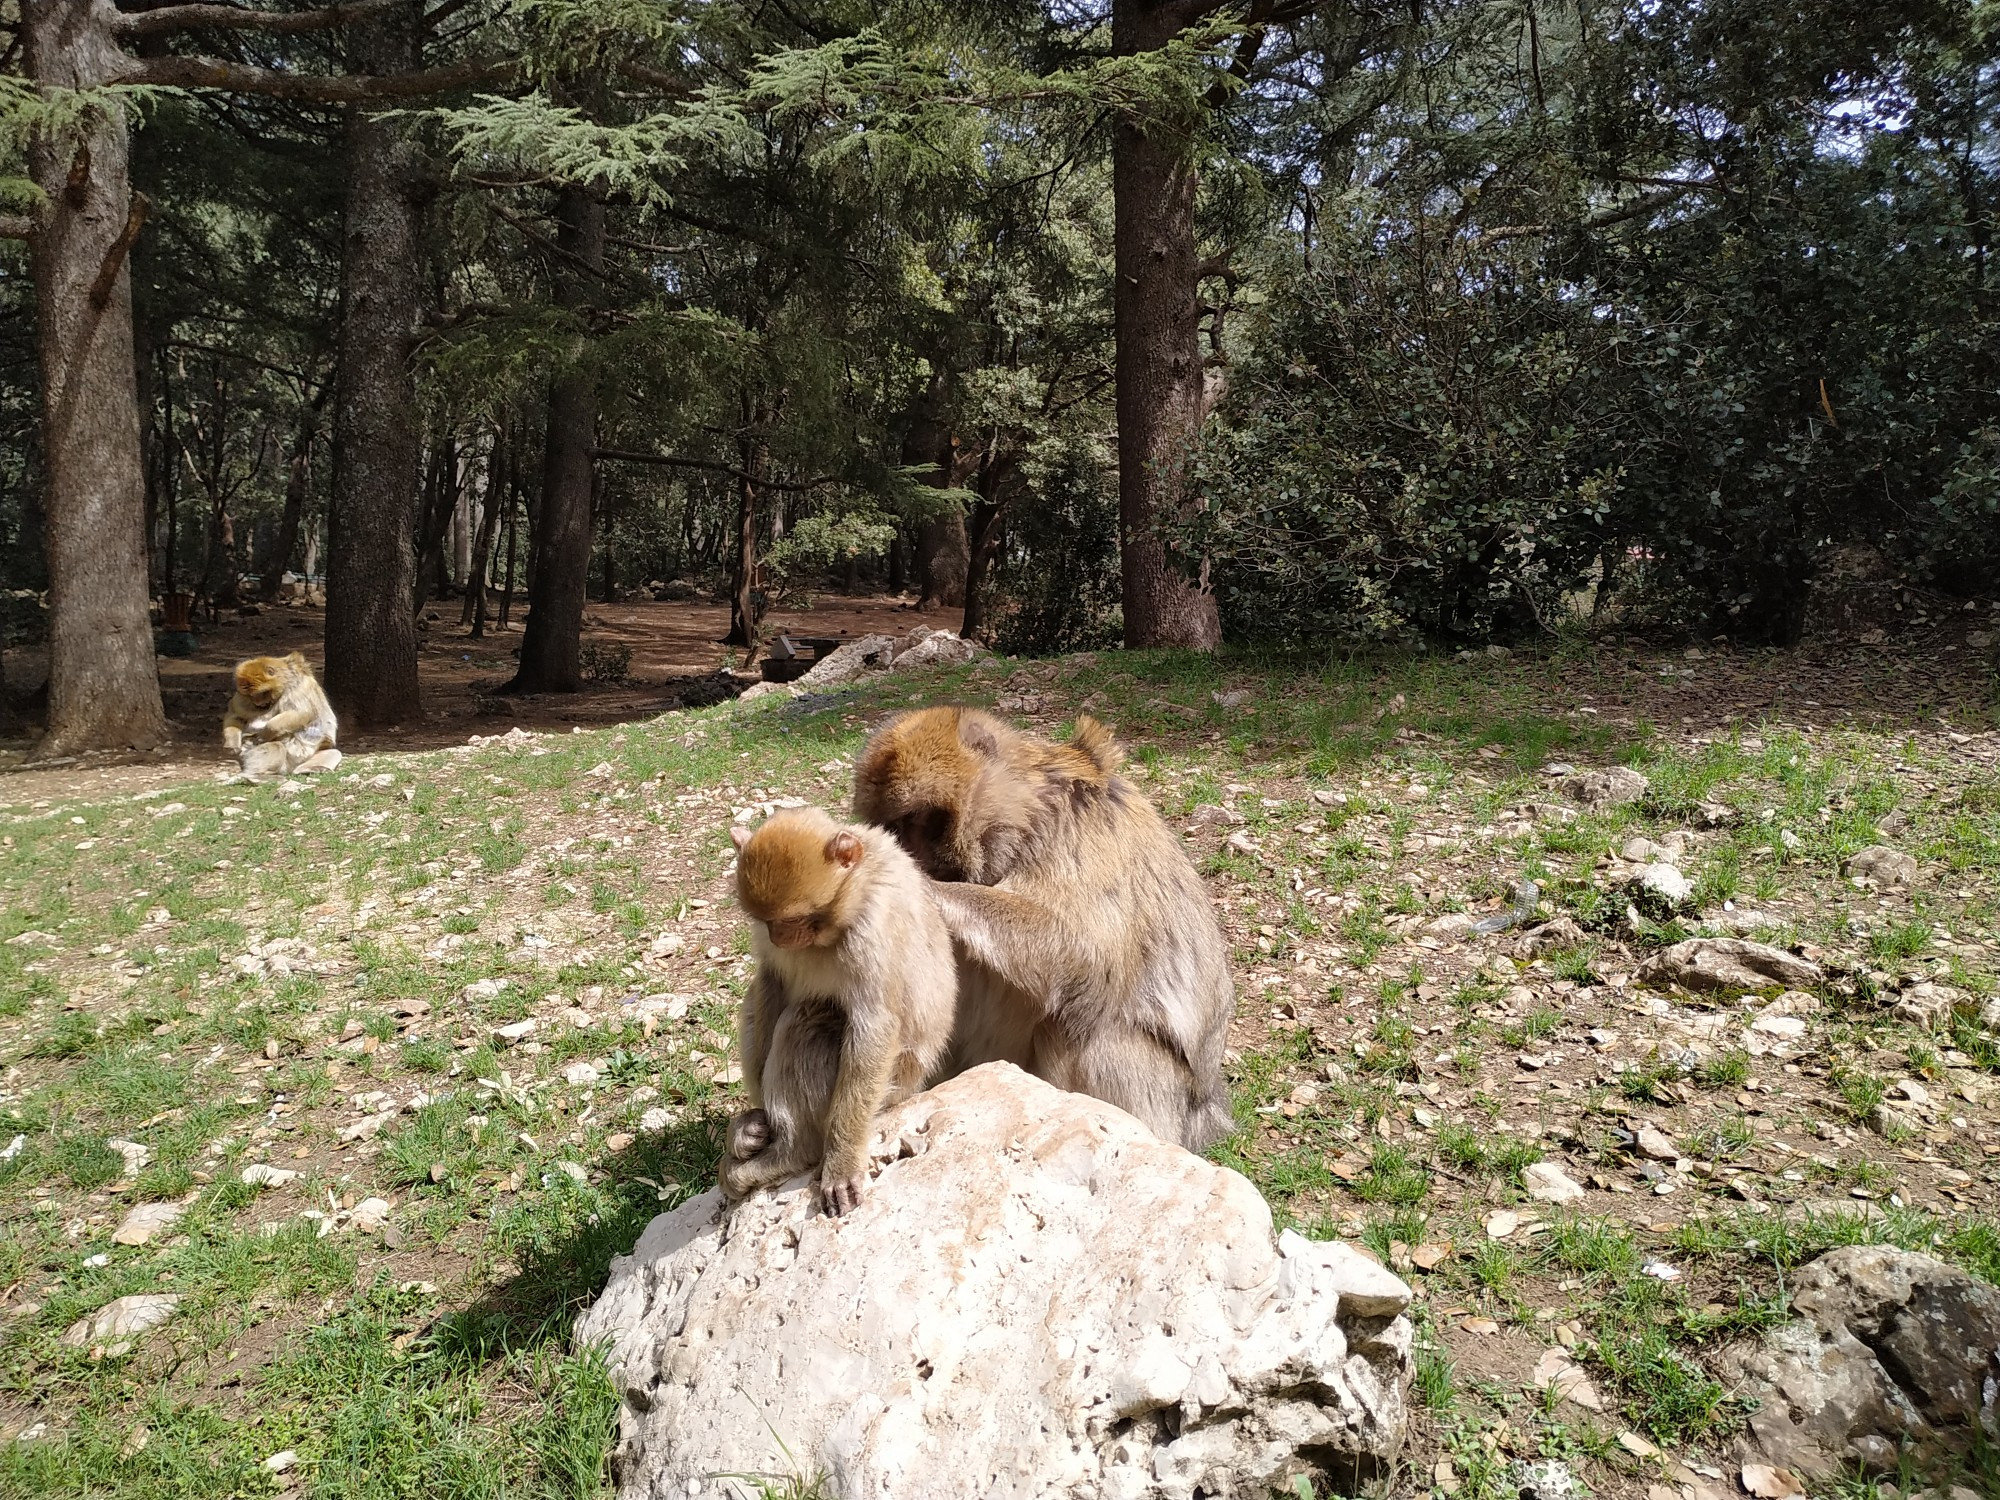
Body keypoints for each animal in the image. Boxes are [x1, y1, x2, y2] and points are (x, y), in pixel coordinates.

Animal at [224, 652, 342, 780]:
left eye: (261, 693)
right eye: (250, 695)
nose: (257, 703)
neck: (286, 682)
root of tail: (288, 769)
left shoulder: (297, 688)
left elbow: (302, 713)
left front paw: (267, 731)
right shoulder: (242, 697)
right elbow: (235, 716)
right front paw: (232, 744)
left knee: (334, 752)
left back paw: (308, 770)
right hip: (249, 751)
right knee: (276, 746)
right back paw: (254, 776)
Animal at [724, 804, 956, 1216]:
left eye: (795, 920)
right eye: (769, 922)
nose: (780, 938)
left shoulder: (873, 928)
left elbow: (875, 1025)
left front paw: (842, 1160)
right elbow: (770, 981)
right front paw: (755, 1119)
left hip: (894, 1085)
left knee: (809, 1021)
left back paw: (793, 1152)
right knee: (762, 998)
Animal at [856, 712, 1232, 1160]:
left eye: (918, 820)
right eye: (894, 825)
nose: (911, 854)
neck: (1026, 815)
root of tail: (1205, 1116)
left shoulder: (1075, 826)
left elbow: (1085, 954)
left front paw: (924, 887)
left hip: (1158, 1096)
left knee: (1085, 1025)